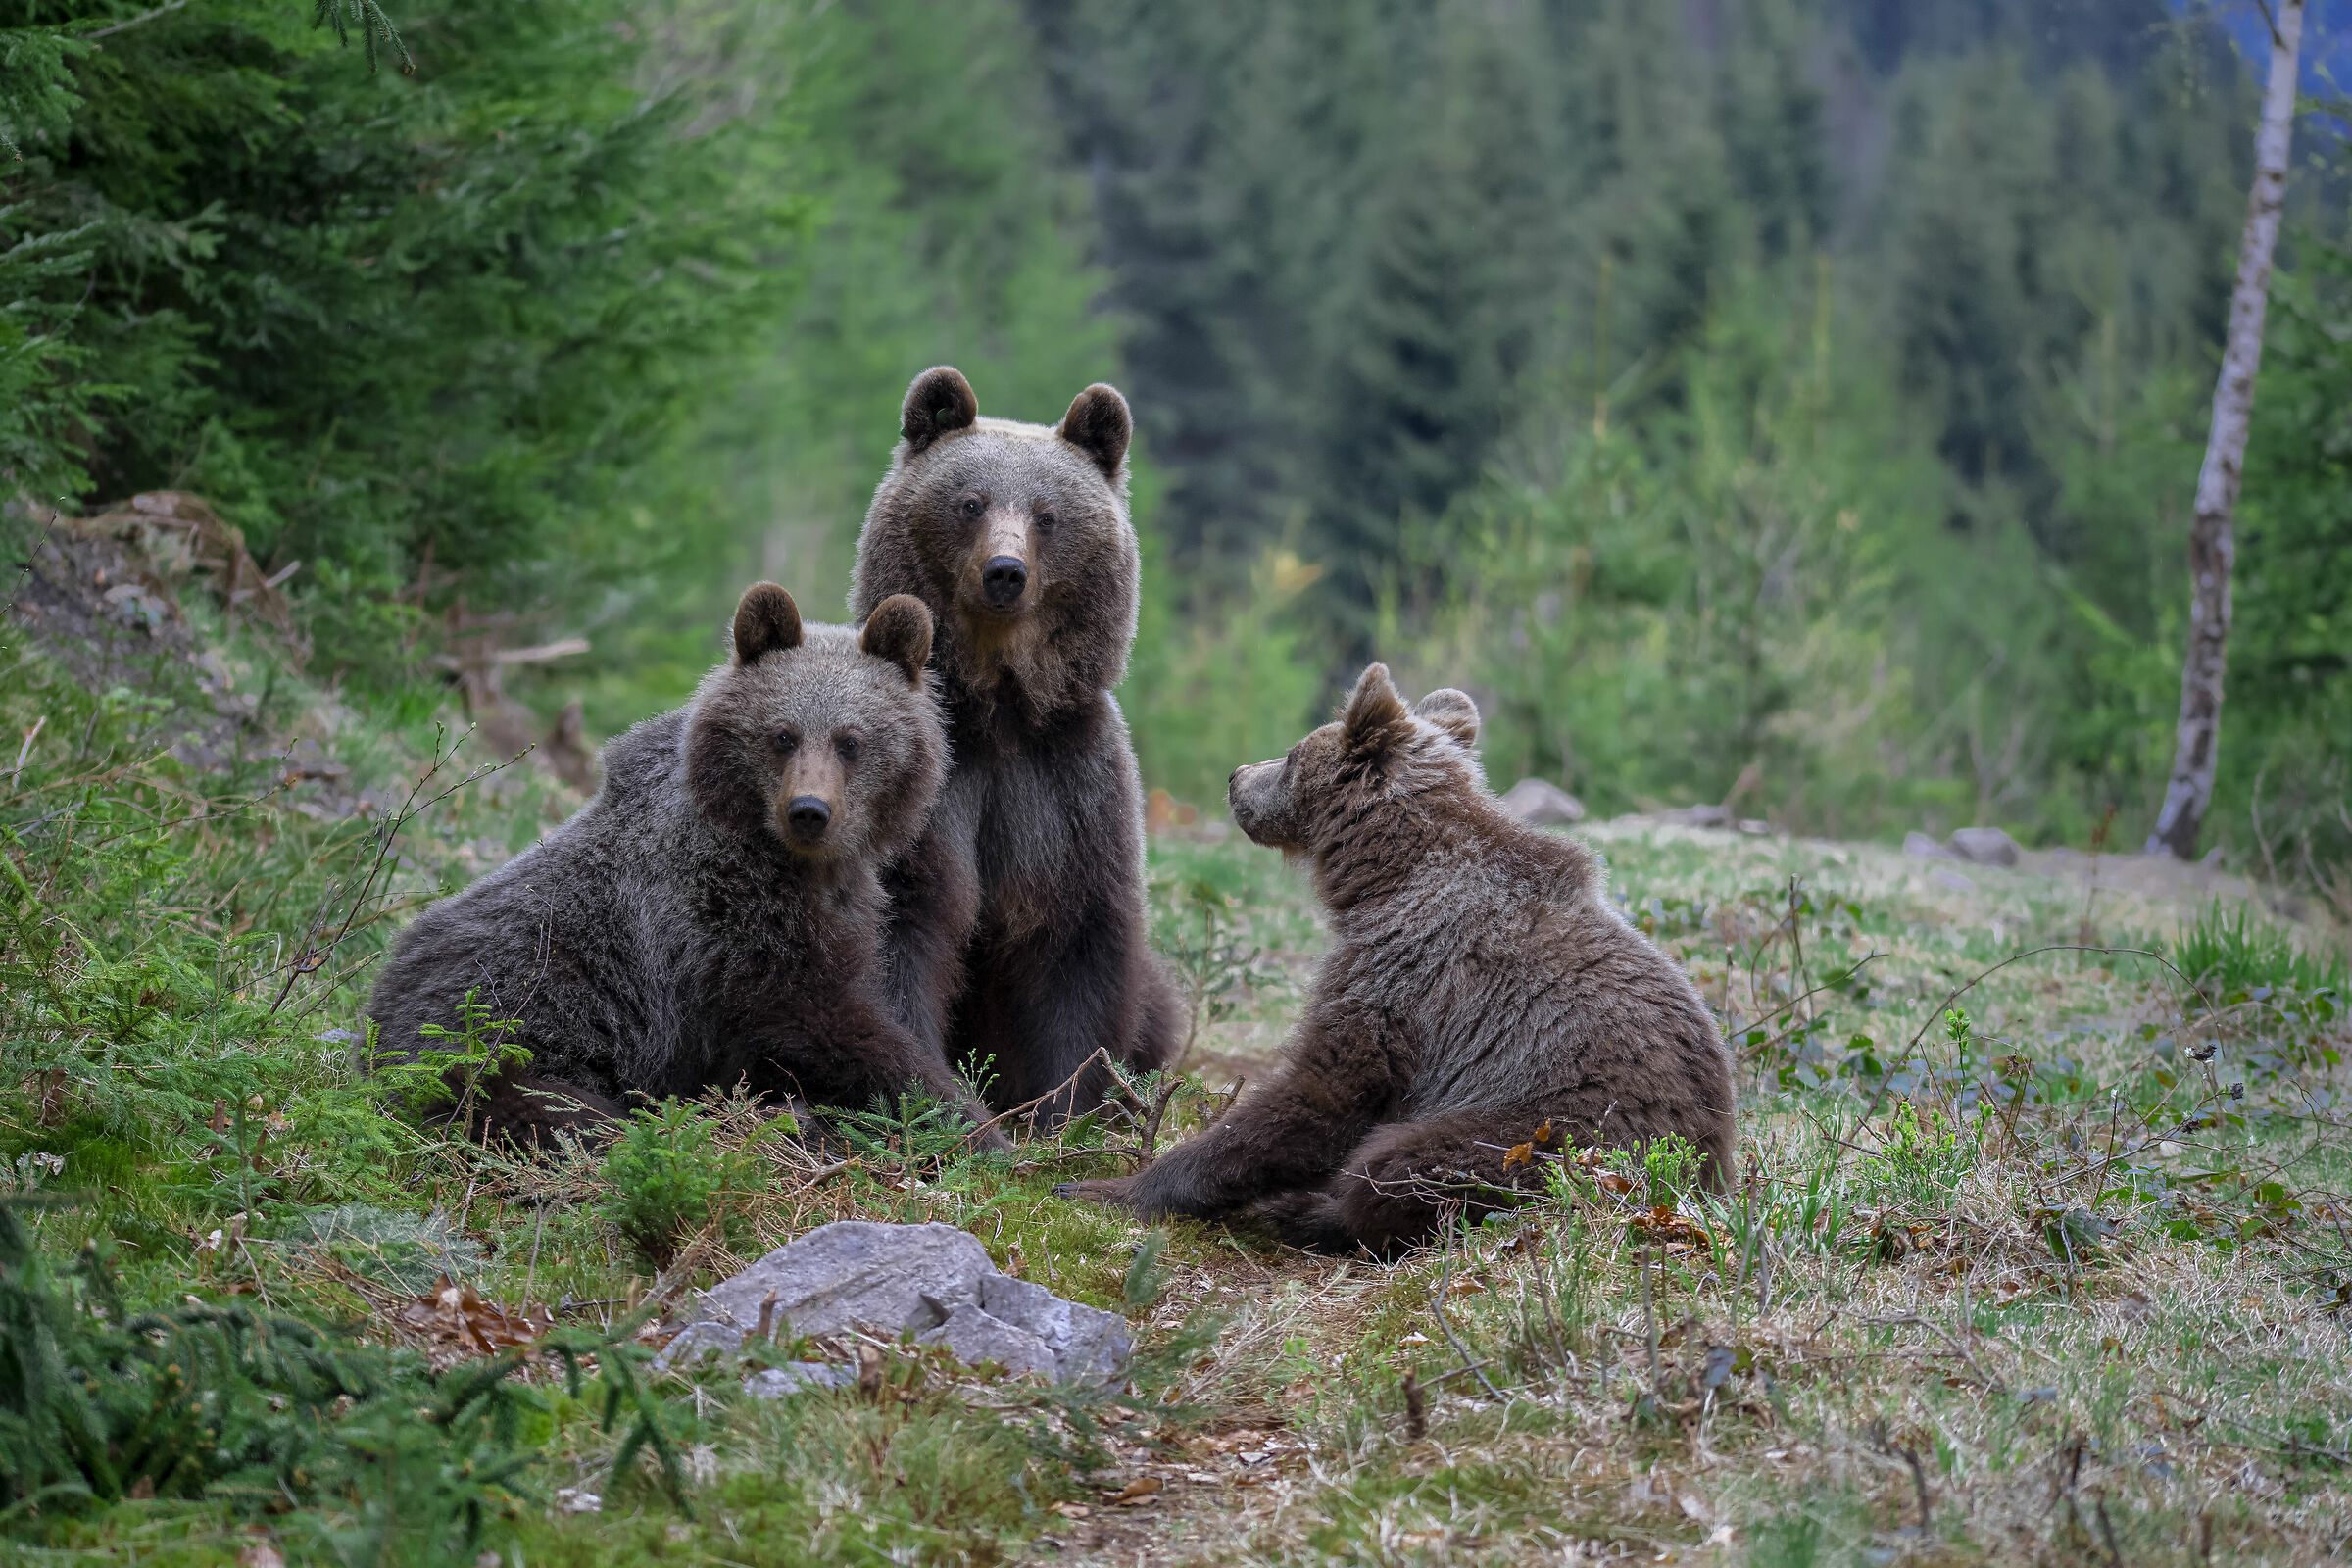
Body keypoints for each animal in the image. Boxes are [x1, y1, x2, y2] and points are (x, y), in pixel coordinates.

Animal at [365, 583, 999, 1147]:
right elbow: (827, 1023)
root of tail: (372, 1026)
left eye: (851, 740)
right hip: (498, 1039)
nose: (809, 811)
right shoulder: (722, 919)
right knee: (561, 1112)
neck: (793, 861)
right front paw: (972, 1122)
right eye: (783, 735)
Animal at [851, 366, 1183, 1118]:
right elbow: (902, 926)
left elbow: (1076, 945)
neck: (999, 707)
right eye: (970, 502)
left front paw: (1068, 1107)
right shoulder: (933, 786)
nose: (1005, 571)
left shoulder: (1065, 785)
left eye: (1048, 514)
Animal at [1057, 664, 1737, 1254]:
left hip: (1555, 1127)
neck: (1387, 874)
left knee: (1403, 1164)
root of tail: (1700, 1182)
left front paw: (1104, 1187)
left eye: (1294, 754)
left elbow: (1323, 1093)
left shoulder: (1401, 974)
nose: (1236, 774)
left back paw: (1307, 1212)